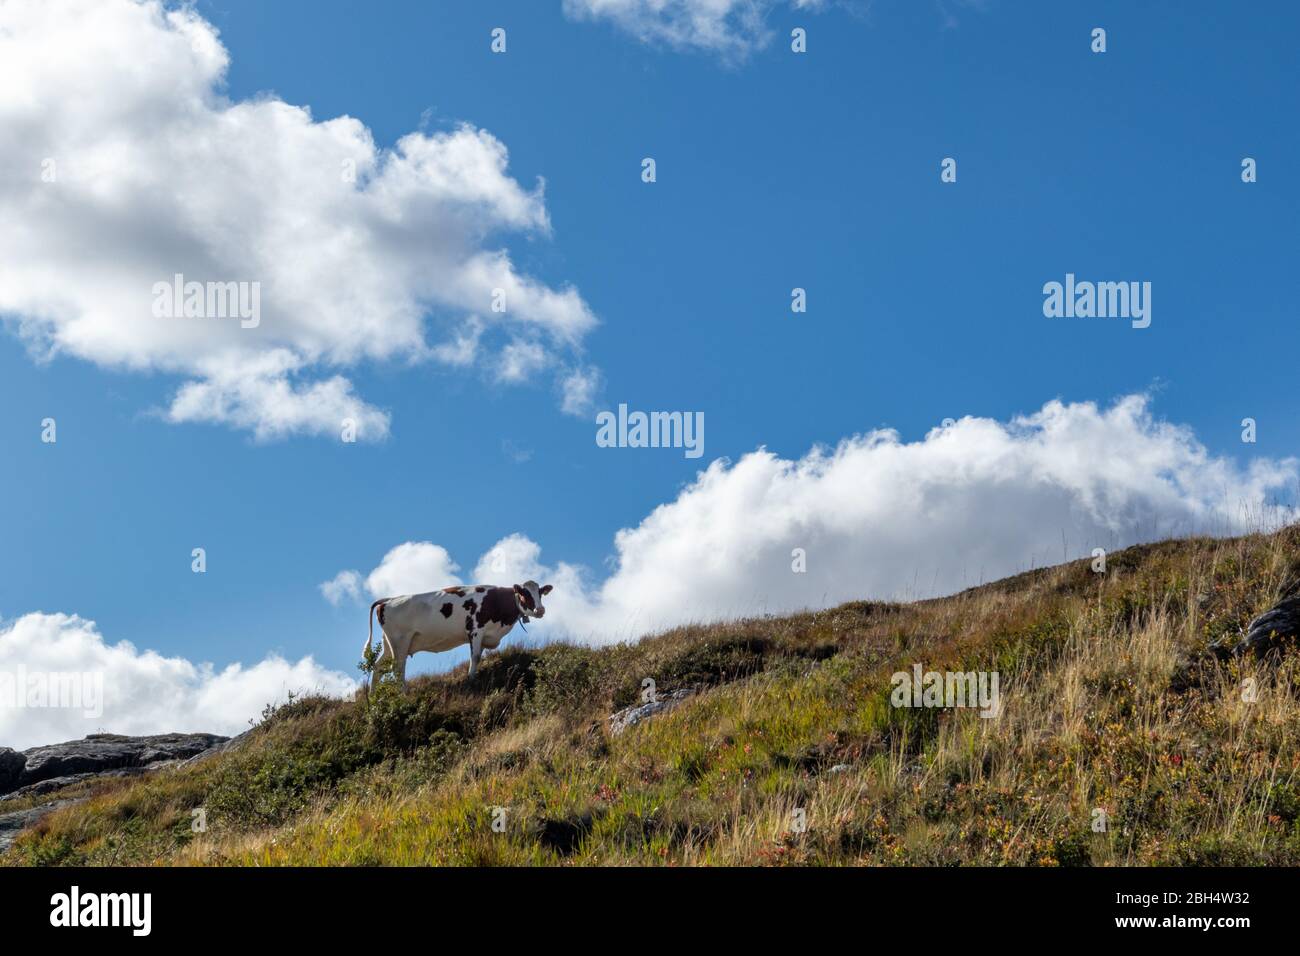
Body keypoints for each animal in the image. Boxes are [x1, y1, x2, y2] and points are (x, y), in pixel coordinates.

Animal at [366, 580, 553, 686]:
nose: (540, 609)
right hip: (400, 641)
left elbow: (478, 656)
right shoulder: (475, 630)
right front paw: (471, 680)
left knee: (378, 667)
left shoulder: (485, 636)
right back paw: (404, 693)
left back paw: (374, 700)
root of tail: (388, 600)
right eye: (524, 594)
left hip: (389, 643)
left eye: (540, 594)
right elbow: (475, 657)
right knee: (397, 668)